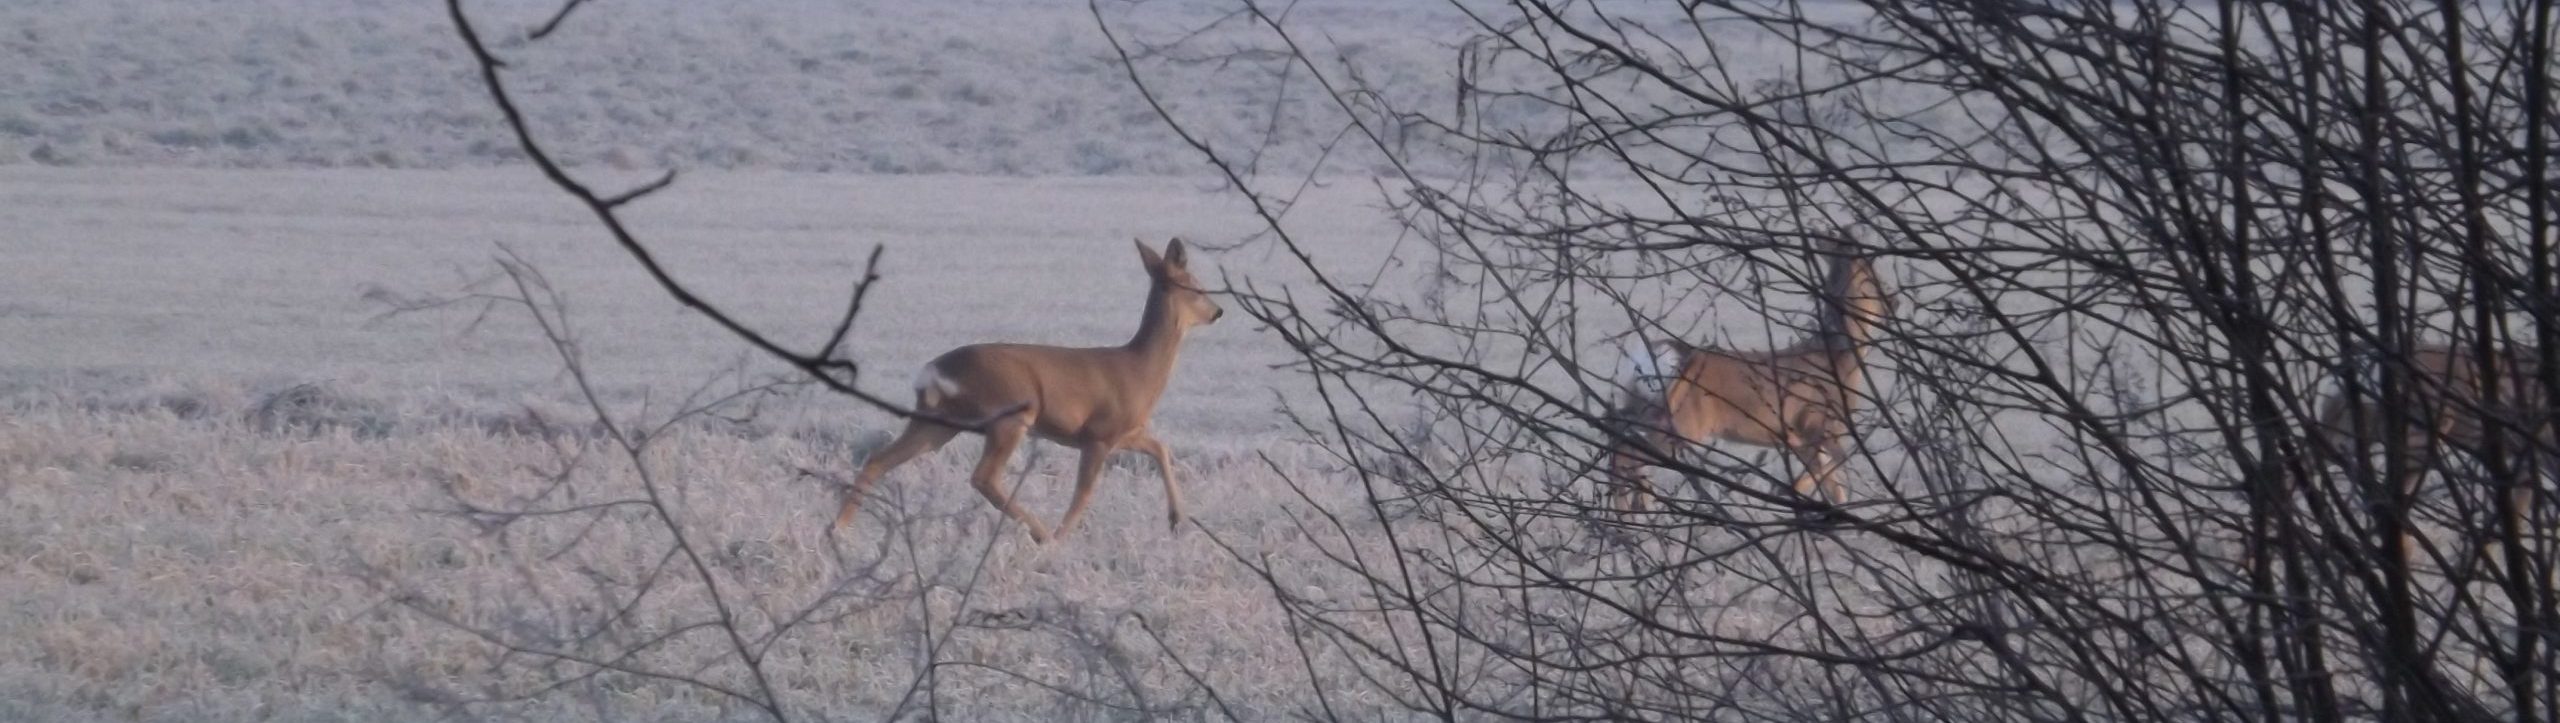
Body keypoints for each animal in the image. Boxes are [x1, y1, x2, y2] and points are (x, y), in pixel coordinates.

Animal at [834, 237, 1223, 543]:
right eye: (1198, 287)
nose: (1218, 311)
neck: (1140, 370)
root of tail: (932, 372)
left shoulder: (1124, 431)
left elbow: (1161, 448)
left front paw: (1177, 520)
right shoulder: (1098, 433)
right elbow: (1083, 493)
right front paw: (1060, 542)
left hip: (936, 422)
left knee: (878, 460)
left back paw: (839, 529)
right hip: (1010, 412)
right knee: (984, 477)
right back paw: (1040, 532)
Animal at [1607, 246, 1894, 510]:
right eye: (1871, 279)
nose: (1892, 303)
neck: (1840, 356)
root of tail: (1659, 353)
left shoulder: (1803, 435)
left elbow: (1831, 483)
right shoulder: (1818, 423)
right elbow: (1833, 468)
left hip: (1646, 408)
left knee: (1622, 444)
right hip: (1681, 422)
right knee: (1628, 456)